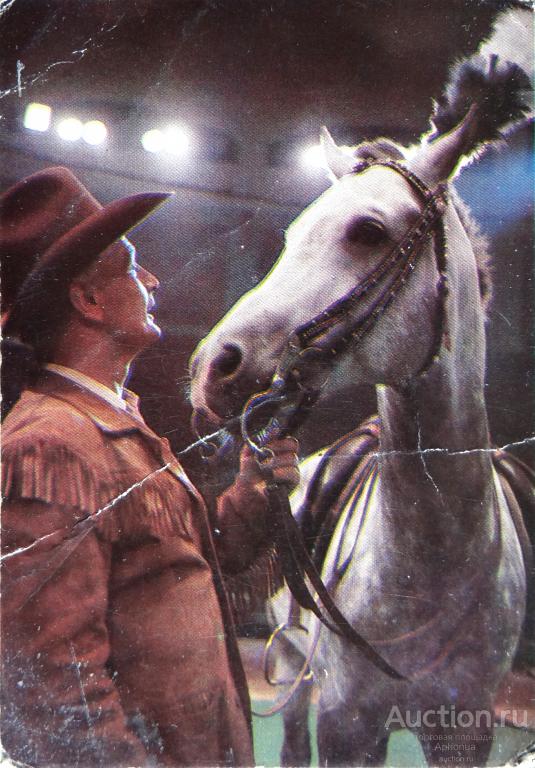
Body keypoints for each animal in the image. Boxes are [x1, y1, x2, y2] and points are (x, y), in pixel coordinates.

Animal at [189, 19, 532, 767]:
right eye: (291, 234)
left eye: (368, 231)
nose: (211, 366)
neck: (433, 564)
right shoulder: (347, 722)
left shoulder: (465, 731)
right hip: (294, 673)